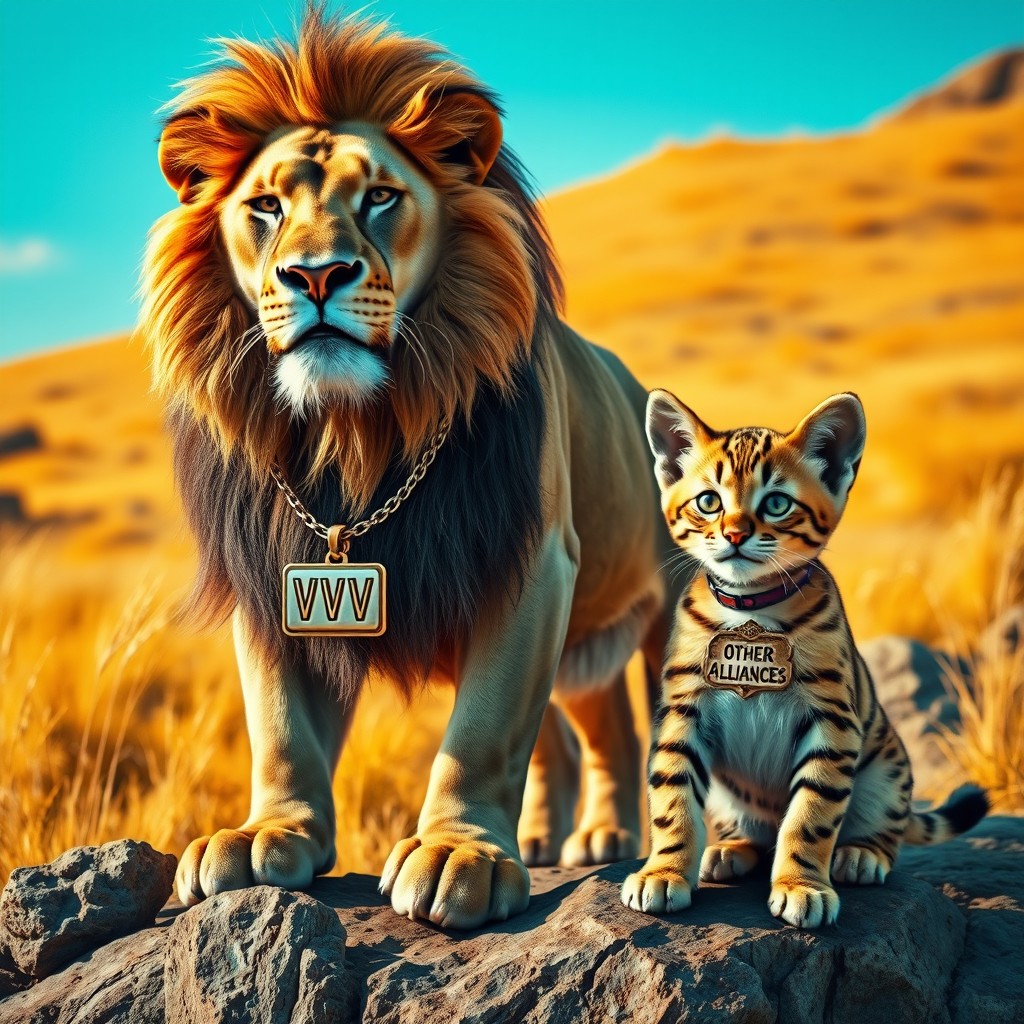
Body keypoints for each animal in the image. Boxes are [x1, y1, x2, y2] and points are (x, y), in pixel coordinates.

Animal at [141, 7, 673, 929]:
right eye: (265, 206)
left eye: (380, 197)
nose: (315, 274)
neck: (353, 436)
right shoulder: (273, 570)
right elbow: (281, 726)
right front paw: (264, 836)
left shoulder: (531, 559)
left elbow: (483, 730)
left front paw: (460, 853)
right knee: (591, 731)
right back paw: (566, 835)